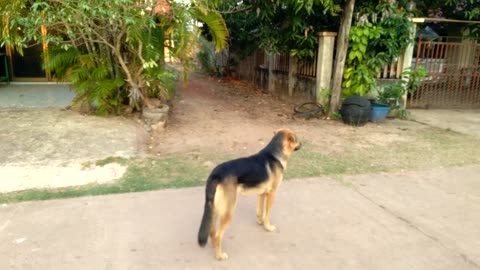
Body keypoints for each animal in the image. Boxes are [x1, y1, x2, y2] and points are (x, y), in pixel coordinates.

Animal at [196, 128, 300, 260]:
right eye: (297, 139)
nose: (302, 144)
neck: (275, 155)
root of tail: (215, 174)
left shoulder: (261, 194)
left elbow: (260, 211)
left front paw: (260, 222)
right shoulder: (272, 193)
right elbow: (267, 213)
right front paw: (268, 227)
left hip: (215, 208)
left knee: (212, 232)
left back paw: (214, 246)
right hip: (228, 211)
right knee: (218, 235)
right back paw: (219, 256)